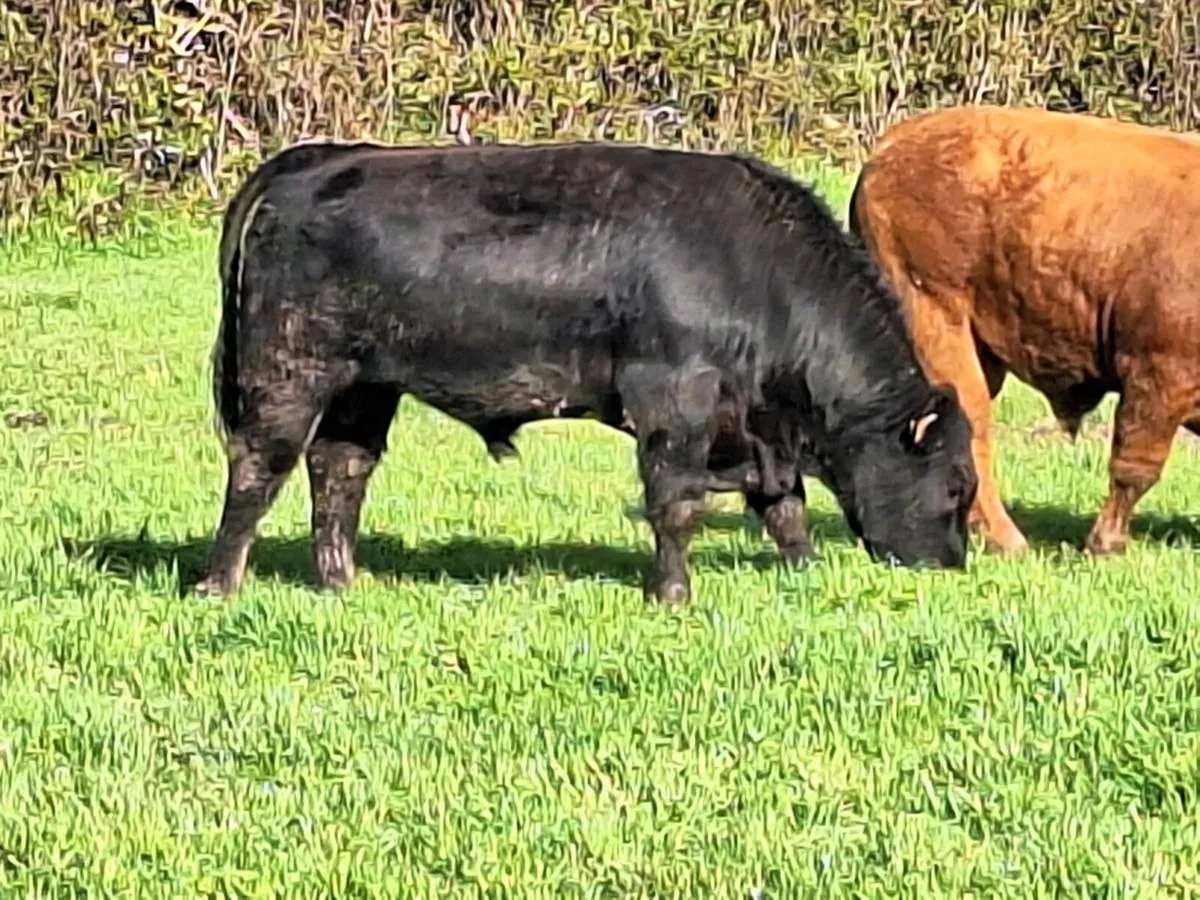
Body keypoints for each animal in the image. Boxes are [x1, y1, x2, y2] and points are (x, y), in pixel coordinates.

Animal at [195, 138, 978, 604]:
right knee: (260, 467)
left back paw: (341, 584)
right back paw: (219, 585)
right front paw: (671, 595)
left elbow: (783, 504)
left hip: (365, 388)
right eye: (955, 485)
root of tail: (323, 158)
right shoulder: (673, 400)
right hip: (290, 371)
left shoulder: (755, 428)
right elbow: (676, 503)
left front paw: (803, 571)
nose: (950, 564)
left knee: (340, 470)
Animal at [848, 103, 1200, 557]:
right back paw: (1007, 540)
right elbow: (1135, 467)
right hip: (936, 322)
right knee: (970, 425)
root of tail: (887, 151)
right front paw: (1105, 544)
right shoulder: (1157, 376)